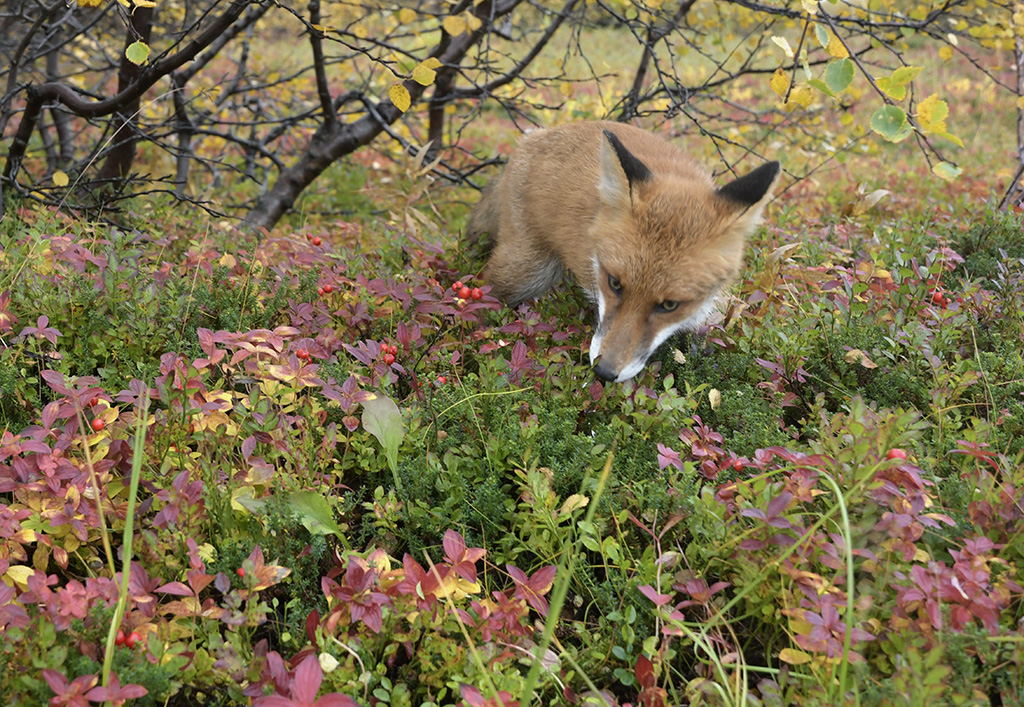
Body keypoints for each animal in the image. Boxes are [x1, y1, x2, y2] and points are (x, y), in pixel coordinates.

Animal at [466, 121, 781, 383]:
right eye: (614, 283)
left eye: (670, 305)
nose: (604, 373)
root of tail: (534, 134)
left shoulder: (705, 314)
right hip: (527, 272)